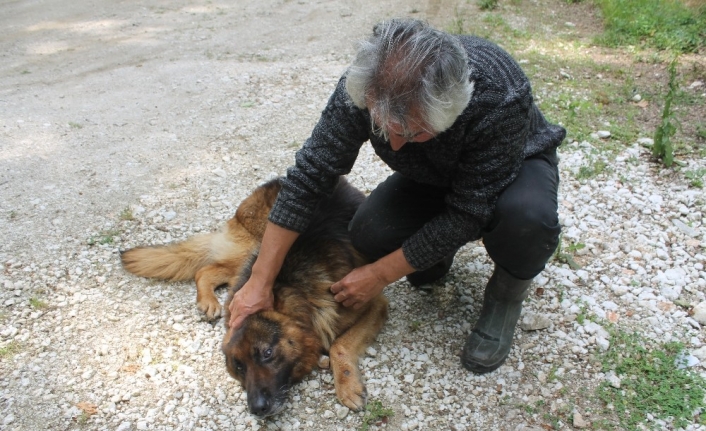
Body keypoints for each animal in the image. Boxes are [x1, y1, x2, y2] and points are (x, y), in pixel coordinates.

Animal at [119, 176, 388, 418]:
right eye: (239, 366)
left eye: (267, 353)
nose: (257, 409)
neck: (296, 291)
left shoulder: (372, 303)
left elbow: (338, 345)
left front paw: (347, 387)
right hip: (257, 248)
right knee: (205, 270)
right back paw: (208, 302)